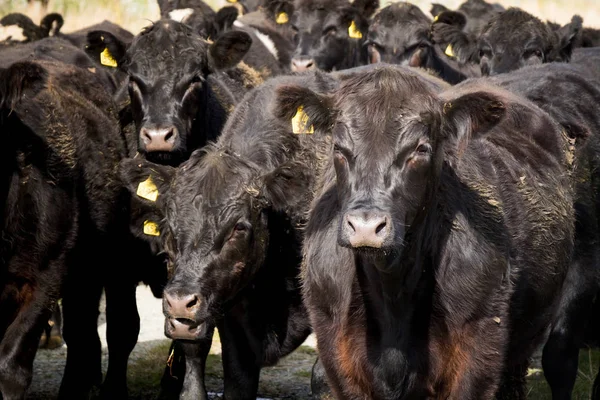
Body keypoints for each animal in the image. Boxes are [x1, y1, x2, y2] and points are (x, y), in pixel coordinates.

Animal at [274, 65, 576, 396]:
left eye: (420, 149)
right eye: (339, 148)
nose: (366, 226)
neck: (394, 291)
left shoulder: (478, 353)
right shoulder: (337, 357)